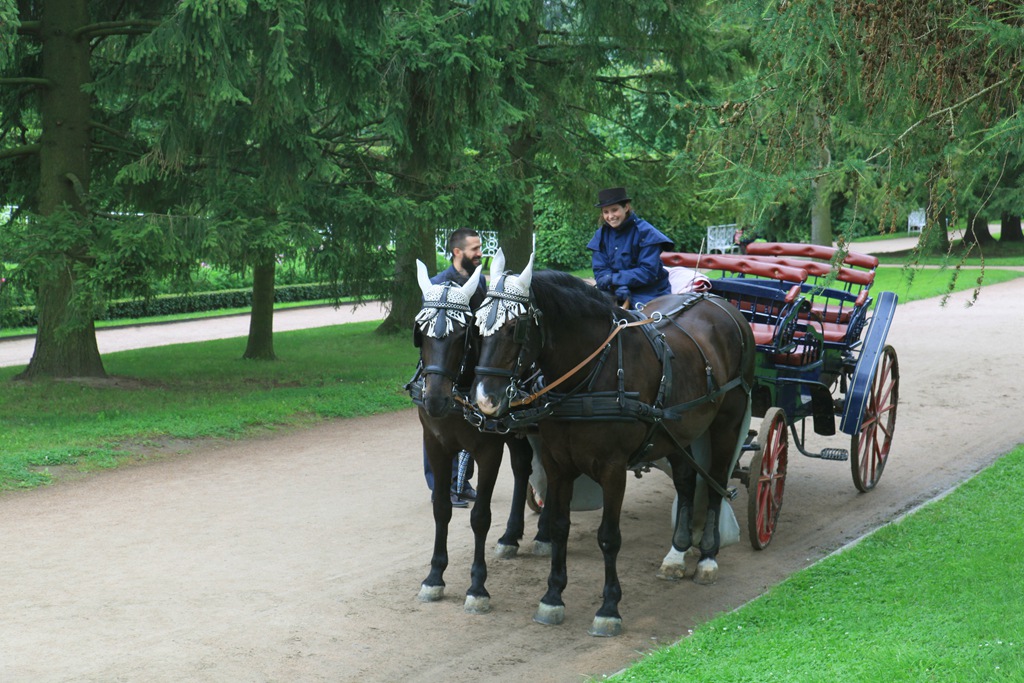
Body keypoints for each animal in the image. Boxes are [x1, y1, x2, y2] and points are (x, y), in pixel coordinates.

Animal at [411, 259, 548, 618]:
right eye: (421, 333)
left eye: (463, 333)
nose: (434, 400)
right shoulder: (436, 445)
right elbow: (441, 508)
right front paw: (434, 576)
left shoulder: (488, 450)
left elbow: (480, 517)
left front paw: (477, 586)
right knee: (523, 468)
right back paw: (512, 535)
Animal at [471, 253, 753, 638]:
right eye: (477, 324)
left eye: (515, 328)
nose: (485, 399)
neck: (591, 375)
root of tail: (717, 302)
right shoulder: (558, 464)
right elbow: (559, 526)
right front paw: (552, 597)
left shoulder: (613, 469)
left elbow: (608, 536)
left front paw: (608, 608)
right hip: (680, 431)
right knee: (686, 481)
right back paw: (677, 553)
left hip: (727, 422)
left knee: (716, 484)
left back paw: (708, 557)